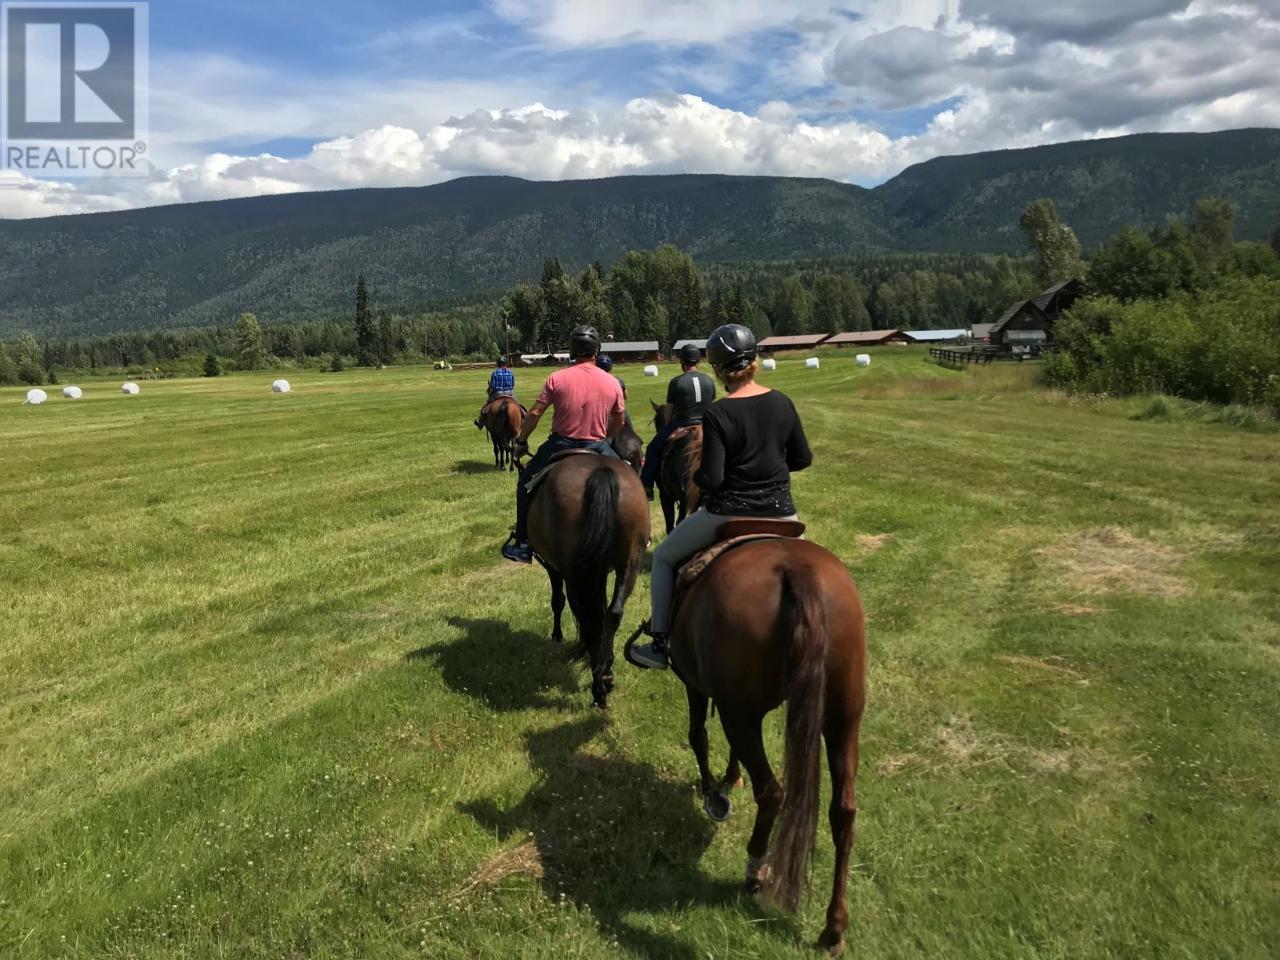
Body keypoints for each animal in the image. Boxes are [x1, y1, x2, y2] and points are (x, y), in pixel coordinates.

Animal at [527, 455, 650, 711]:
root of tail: (601, 471)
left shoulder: (554, 567)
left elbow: (558, 601)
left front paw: (557, 635)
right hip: (629, 560)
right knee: (612, 613)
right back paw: (606, 675)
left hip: (575, 573)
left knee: (587, 615)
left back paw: (598, 689)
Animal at [632, 529, 865, 957]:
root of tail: (797, 571)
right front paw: (730, 777)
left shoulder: (697, 685)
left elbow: (698, 735)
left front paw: (713, 792)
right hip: (843, 717)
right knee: (843, 811)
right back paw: (833, 928)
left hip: (739, 712)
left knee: (772, 792)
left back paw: (755, 869)